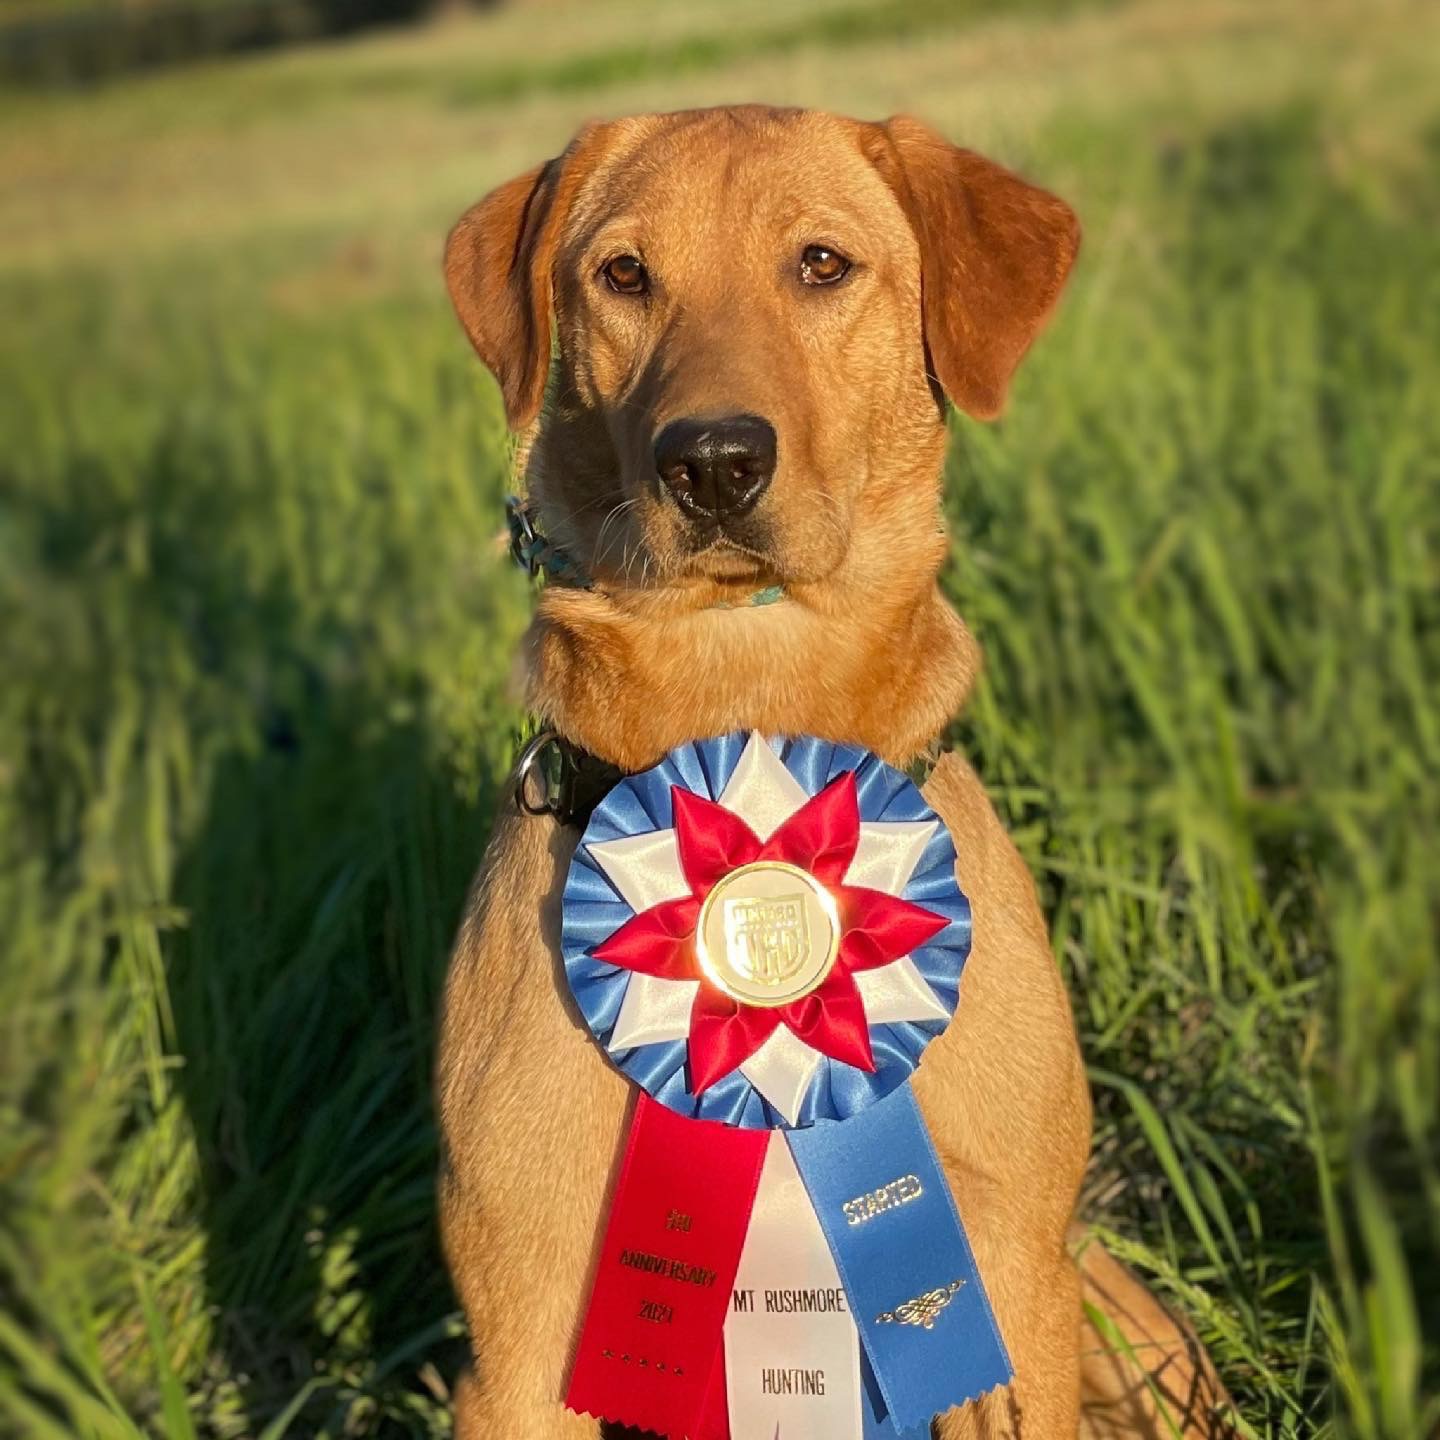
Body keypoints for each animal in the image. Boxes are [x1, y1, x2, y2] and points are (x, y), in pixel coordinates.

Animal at [434, 104, 1226, 1440]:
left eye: (821, 265)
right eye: (623, 276)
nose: (712, 462)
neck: (752, 701)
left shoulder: (1009, 1275)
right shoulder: (522, 1339)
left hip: (1111, 1308)